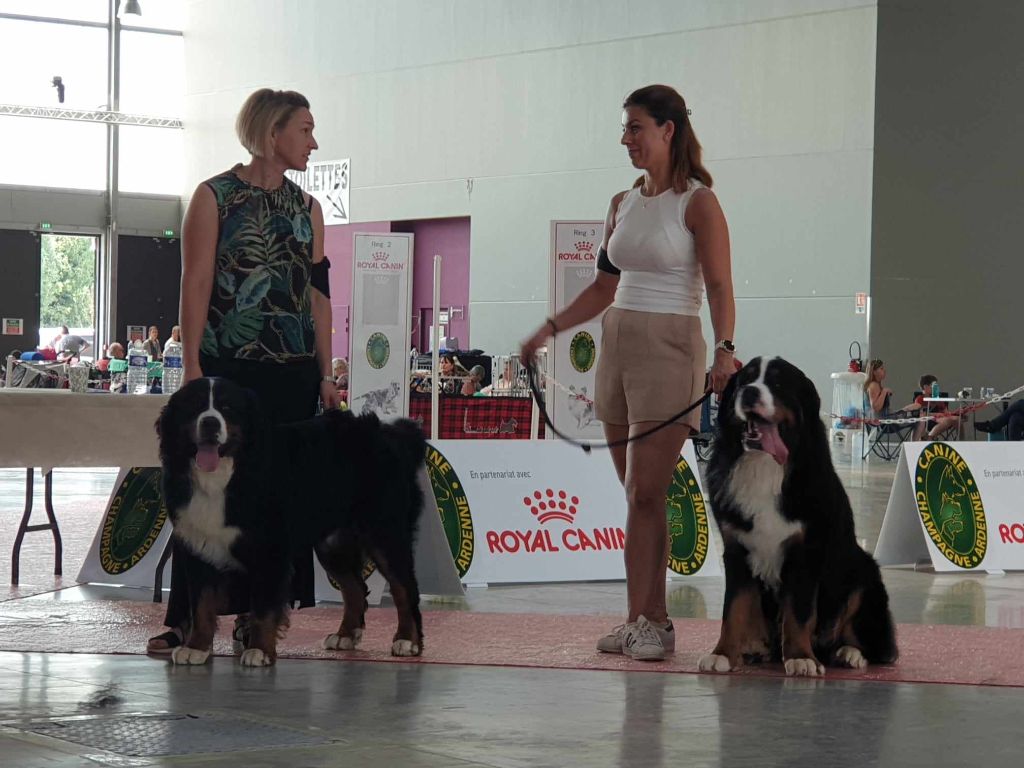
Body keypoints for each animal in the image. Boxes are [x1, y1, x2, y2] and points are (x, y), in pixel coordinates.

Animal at [153, 378, 425, 667]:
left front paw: (259, 650)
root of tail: (388, 433)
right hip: (333, 544)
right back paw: (345, 635)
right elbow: (202, 605)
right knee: (355, 589)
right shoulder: (199, 546)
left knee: (404, 588)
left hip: (384, 532)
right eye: (195, 406)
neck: (225, 476)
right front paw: (196, 647)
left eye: (227, 408)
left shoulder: (270, 548)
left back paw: (407, 640)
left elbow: (263, 607)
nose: (210, 423)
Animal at [700, 358, 901, 675]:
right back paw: (756, 647)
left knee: (869, 641)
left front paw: (800, 658)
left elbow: (799, 612)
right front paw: (722, 654)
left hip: (863, 572)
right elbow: (733, 609)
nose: (749, 392)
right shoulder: (736, 549)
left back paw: (849, 654)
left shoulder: (806, 551)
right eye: (744, 380)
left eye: (777, 383)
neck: (766, 467)